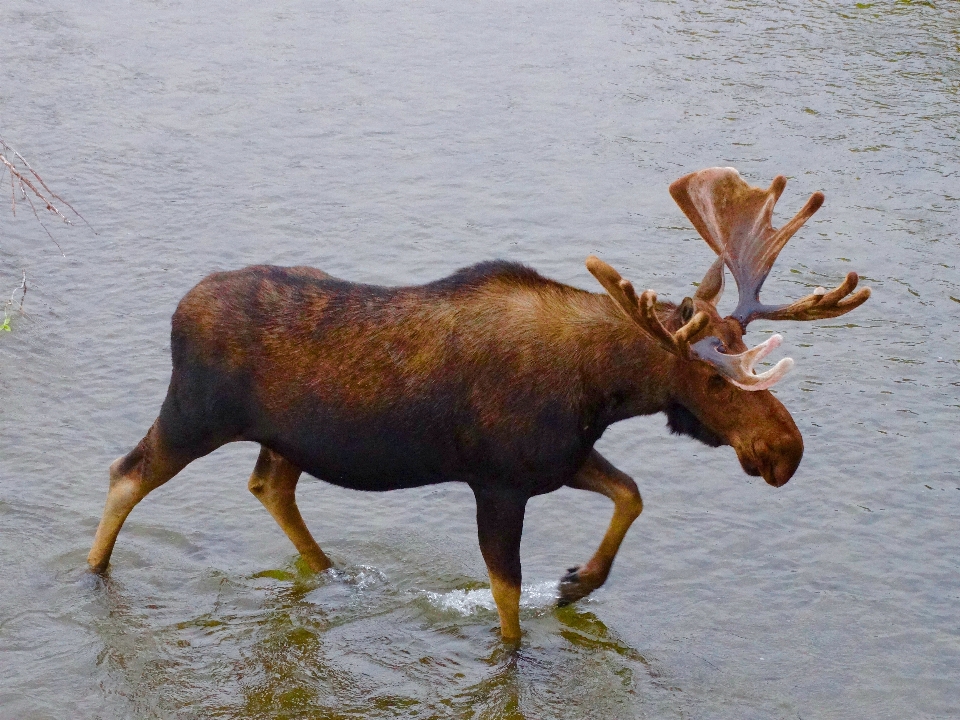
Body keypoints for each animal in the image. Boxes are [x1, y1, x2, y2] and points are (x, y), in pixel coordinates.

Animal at [88, 169, 872, 640]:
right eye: (712, 379)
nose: (786, 450)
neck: (603, 389)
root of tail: (178, 311)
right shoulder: (497, 482)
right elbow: (507, 603)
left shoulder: (558, 460)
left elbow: (631, 493)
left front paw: (578, 583)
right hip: (195, 413)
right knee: (126, 473)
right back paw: (94, 573)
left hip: (282, 438)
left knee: (269, 485)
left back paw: (331, 570)